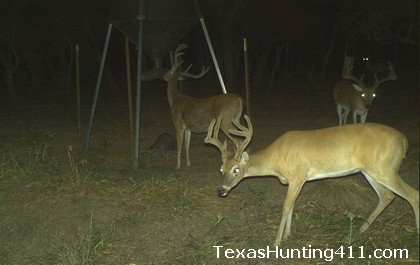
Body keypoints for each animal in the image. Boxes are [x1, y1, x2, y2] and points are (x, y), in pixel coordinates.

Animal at [203, 113, 416, 245]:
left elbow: (285, 207)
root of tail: (404, 140)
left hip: (385, 169)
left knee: (413, 194)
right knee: (387, 196)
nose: (221, 190)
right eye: (221, 169)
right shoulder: (294, 181)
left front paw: (276, 241)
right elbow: (292, 206)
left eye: (237, 169)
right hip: (370, 171)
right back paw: (360, 230)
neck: (276, 158)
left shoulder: (298, 176)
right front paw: (287, 235)